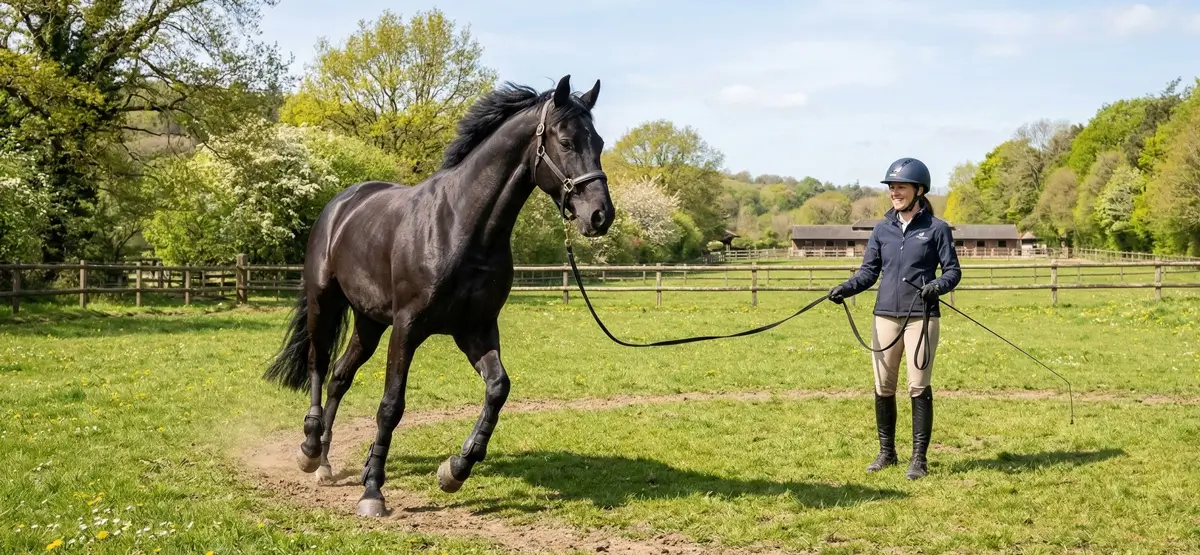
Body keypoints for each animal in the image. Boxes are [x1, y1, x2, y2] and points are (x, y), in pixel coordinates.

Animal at [263, 74, 614, 517]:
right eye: (566, 141)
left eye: (598, 142)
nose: (600, 216)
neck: (463, 227)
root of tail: (341, 204)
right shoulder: (407, 328)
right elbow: (391, 405)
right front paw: (373, 491)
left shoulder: (475, 330)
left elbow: (498, 388)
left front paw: (455, 470)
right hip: (323, 301)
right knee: (318, 363)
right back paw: (310, 450)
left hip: (369, 321)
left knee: (340, 377)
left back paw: (326, 462)